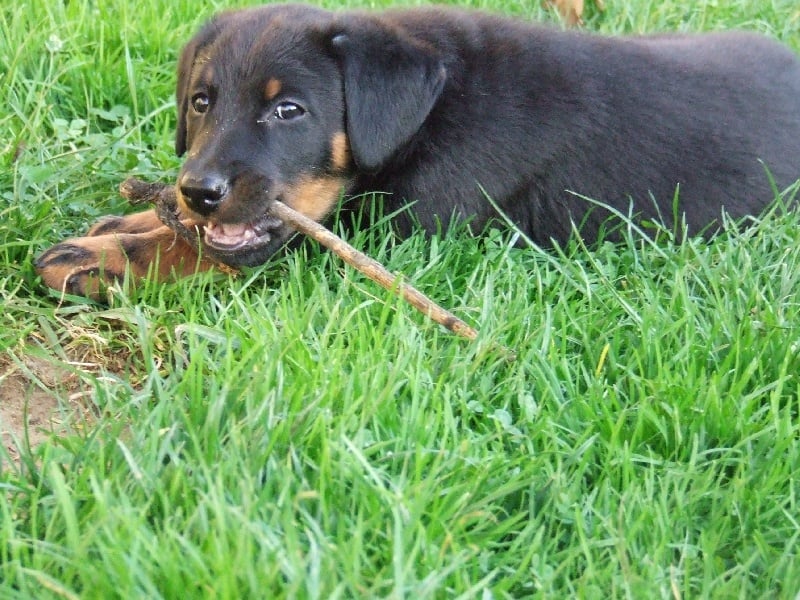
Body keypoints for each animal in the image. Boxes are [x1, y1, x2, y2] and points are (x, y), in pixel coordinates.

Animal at [36, 3, 800, 296]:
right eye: (201, 102)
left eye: (289, 110)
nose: (199, 190)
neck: (426, 113)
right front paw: (132, 220)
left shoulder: (385, 240)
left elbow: (209, 252)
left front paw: (104, 257)